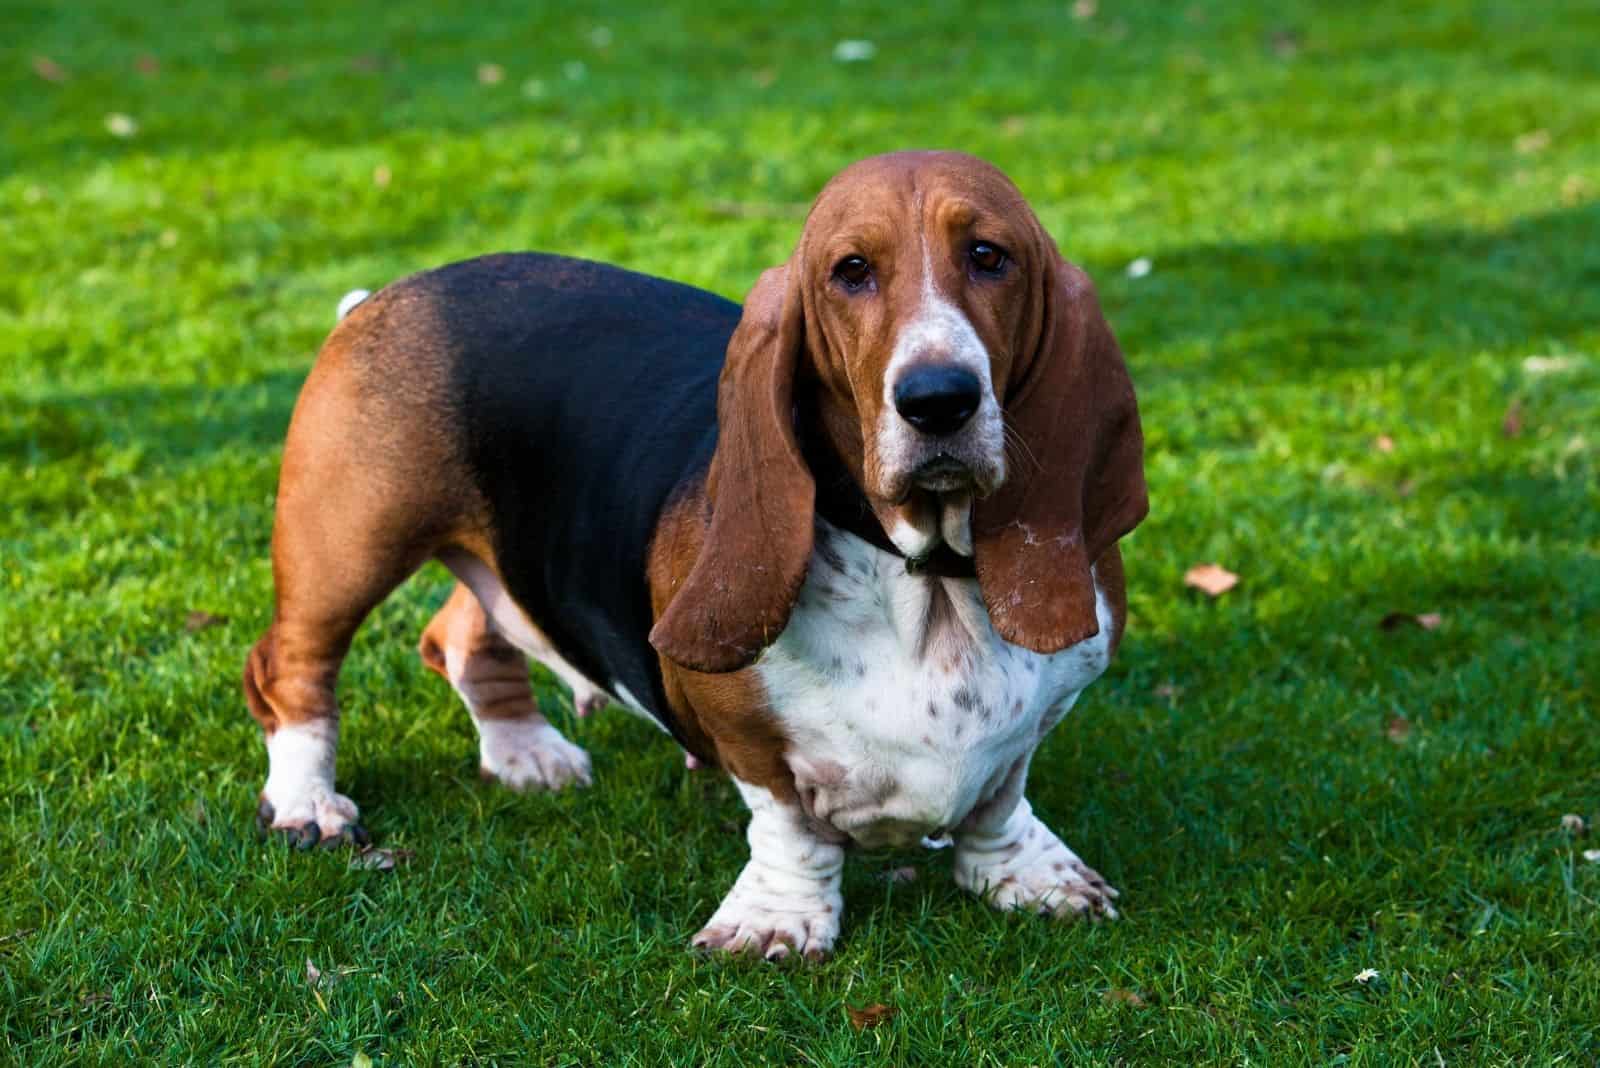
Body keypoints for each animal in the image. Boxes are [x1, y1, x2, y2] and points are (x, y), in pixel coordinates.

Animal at [243, 150, 1145, 959]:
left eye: (990, 256)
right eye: (851, 271)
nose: (938, 400)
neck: (925, 573)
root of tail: (387, 293)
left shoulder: (1045, 711)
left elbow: (1000, 795)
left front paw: (1029, 874)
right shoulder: (744, 734)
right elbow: (788, 824)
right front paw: (776, 921)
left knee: (460, 630)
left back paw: (524, 750)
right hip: (348, 541)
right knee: (289, 668)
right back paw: (307, 803)